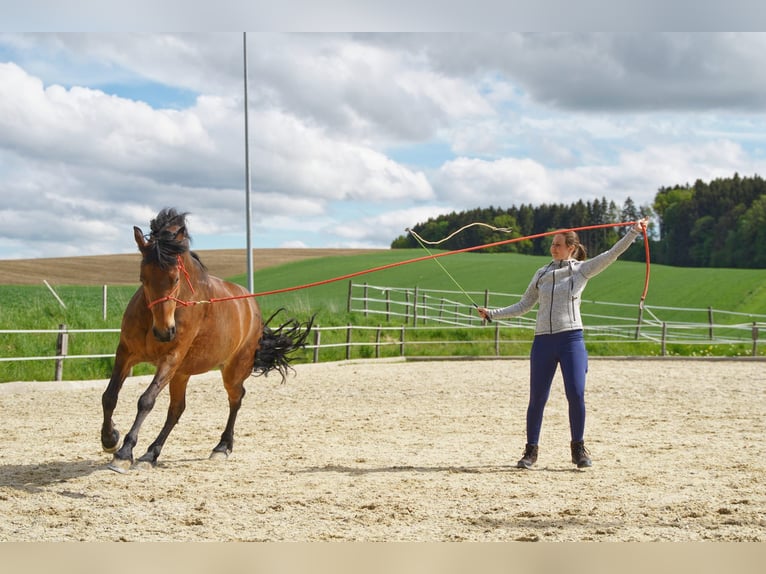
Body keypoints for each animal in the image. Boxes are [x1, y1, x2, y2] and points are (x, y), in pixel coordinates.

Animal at [100, 208, 313, 473]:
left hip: (231, 370)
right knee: (177, 410)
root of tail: (252, 306)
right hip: (182, 373)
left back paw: (221, 447)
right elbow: (109, 396)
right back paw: (151, 454)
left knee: (236, 398)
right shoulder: (126, 353)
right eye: (142, 278)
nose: (164, 332)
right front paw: (110, 440)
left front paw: (124, 452)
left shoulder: (170, 358)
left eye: (176, 279)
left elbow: (146, 400)